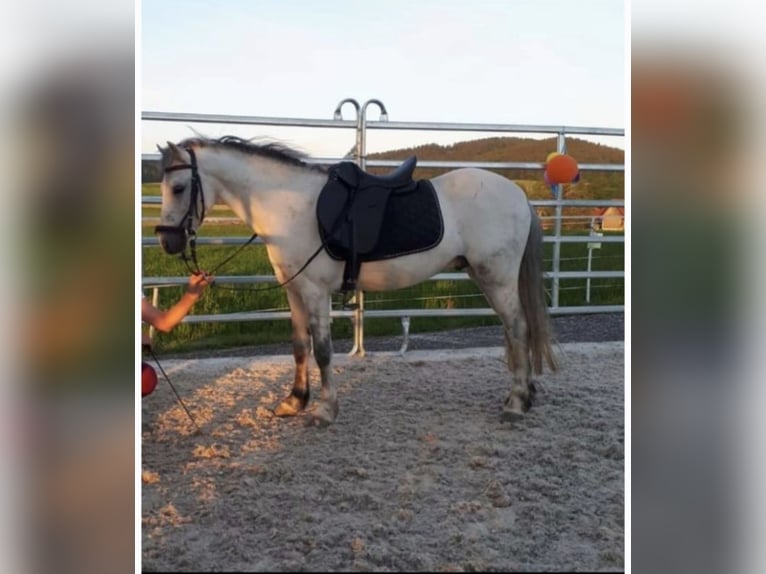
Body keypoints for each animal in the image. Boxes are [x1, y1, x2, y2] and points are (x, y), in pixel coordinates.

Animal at [154, 135, 556, 425]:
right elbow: (299, 346)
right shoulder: (294, 291)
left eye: (178, 187)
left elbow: (322, 351)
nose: (167, 242)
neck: (288, 205)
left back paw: (516, 404)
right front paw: (294, 401)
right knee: (513, 332)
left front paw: (324, 410)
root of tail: (518, 193)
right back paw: (521, 395)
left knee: (518, 329)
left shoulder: (316, 293)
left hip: (497, 278)